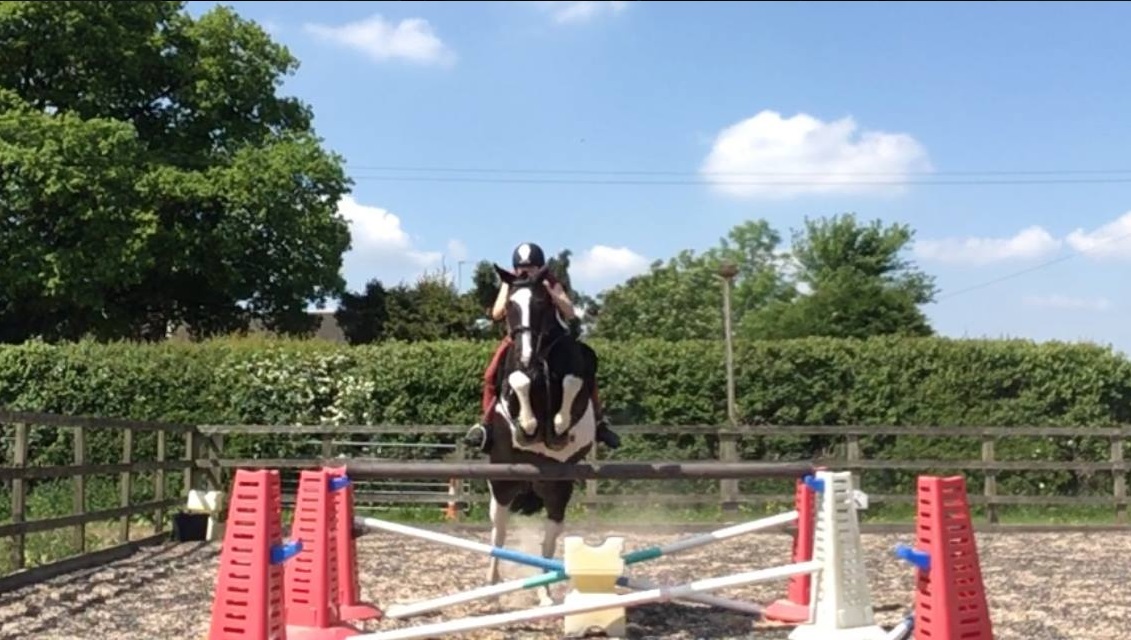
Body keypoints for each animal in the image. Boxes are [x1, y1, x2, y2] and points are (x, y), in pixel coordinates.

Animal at [482, 263, 600, 606]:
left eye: (541, 304)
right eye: (510, 306)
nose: (525, 355)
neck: (542, 358)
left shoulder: (576, 378)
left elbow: (572, 381)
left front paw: (558, 427)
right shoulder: (515, 380)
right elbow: (519, 381)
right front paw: (530, 428)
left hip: (557, 490)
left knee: (547, 544)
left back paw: (545, 594)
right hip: (502, 484)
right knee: (499, 532)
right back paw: (492, 585)